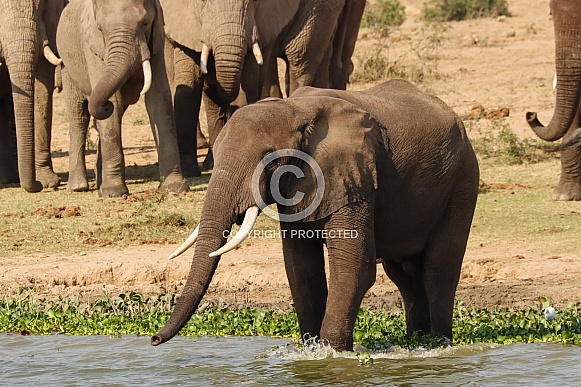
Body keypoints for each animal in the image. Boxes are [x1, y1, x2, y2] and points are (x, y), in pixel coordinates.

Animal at [152, 80, 478, 354]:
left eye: (270, 162)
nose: (154, 339)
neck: (293, 110)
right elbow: (301, 269)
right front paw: (311, 353)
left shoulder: (355, 177)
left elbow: (353, 268)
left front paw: (333, 354)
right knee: (404, 275)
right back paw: (418, 343)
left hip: (463, 180)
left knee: (438, 269)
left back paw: (439, 344)